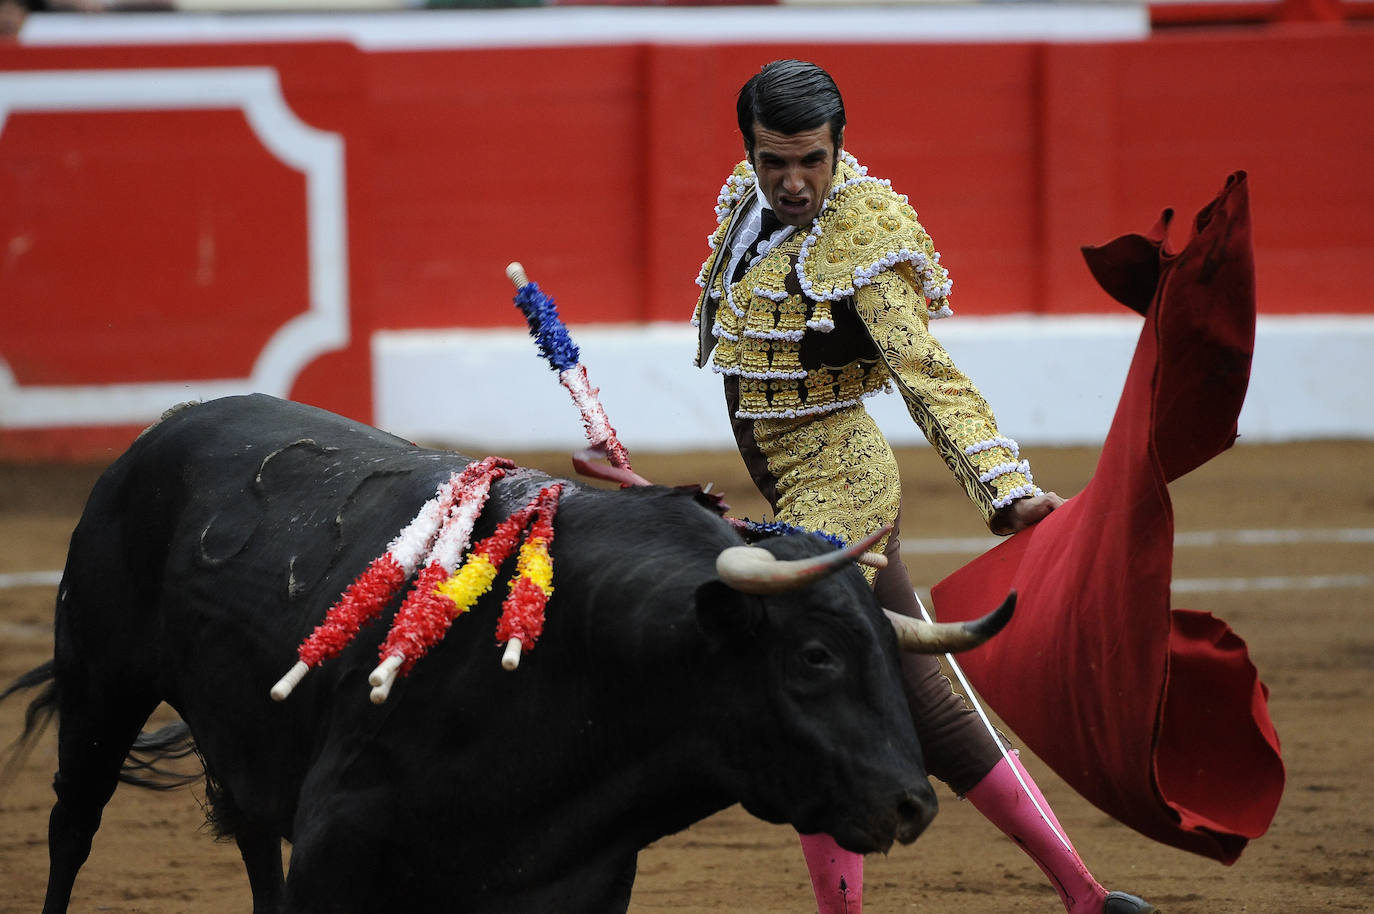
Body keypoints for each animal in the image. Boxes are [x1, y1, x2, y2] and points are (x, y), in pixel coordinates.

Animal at [5, 395, 983, 907]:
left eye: (886, 653)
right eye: (816, 658)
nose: (913, 806)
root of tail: (168, 425)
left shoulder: (577, 886)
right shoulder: (338, 849)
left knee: (244, 827)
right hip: (100, 687)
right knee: (72, 825)